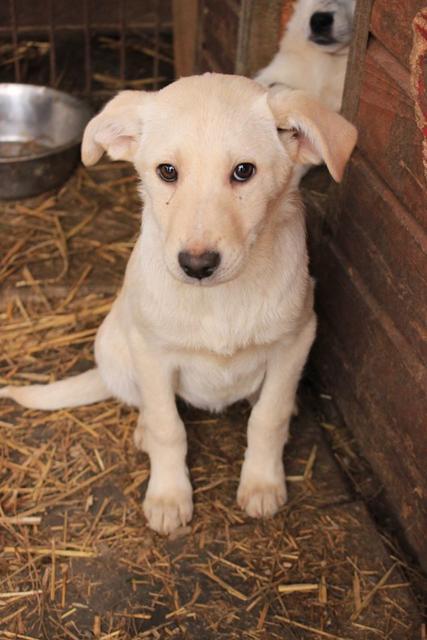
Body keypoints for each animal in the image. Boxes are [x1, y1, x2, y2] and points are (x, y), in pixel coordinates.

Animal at [0, 74, 358, 536]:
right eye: (167, 171)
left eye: (244, 171)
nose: (197, 265)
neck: (220, 299)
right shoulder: (152, 354)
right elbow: (168, 427)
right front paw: (169, 496)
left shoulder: (296, 338)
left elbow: (269, 416)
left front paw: (262, 483)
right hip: (112, 344)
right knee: (143, 404)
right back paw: (142, 431)